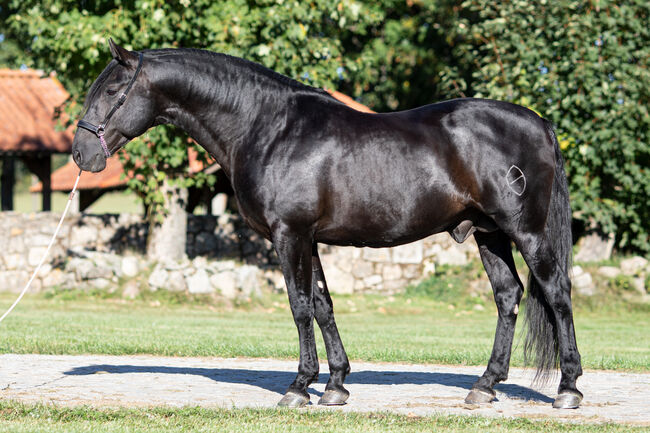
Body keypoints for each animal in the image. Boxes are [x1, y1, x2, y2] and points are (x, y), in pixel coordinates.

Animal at [72, 40, 584, 408]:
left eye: (113, 92)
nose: (82, 154)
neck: (268, 127)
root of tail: (539, 123)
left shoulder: (290, 235)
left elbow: (299, 306)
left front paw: (299, 387)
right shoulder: (309, 239)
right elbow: (323, 304)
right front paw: (336, 385)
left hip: (526, 232)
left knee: (556, 293)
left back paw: (568, 389)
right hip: (487, 234)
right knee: (508, 296)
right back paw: (485, 386)